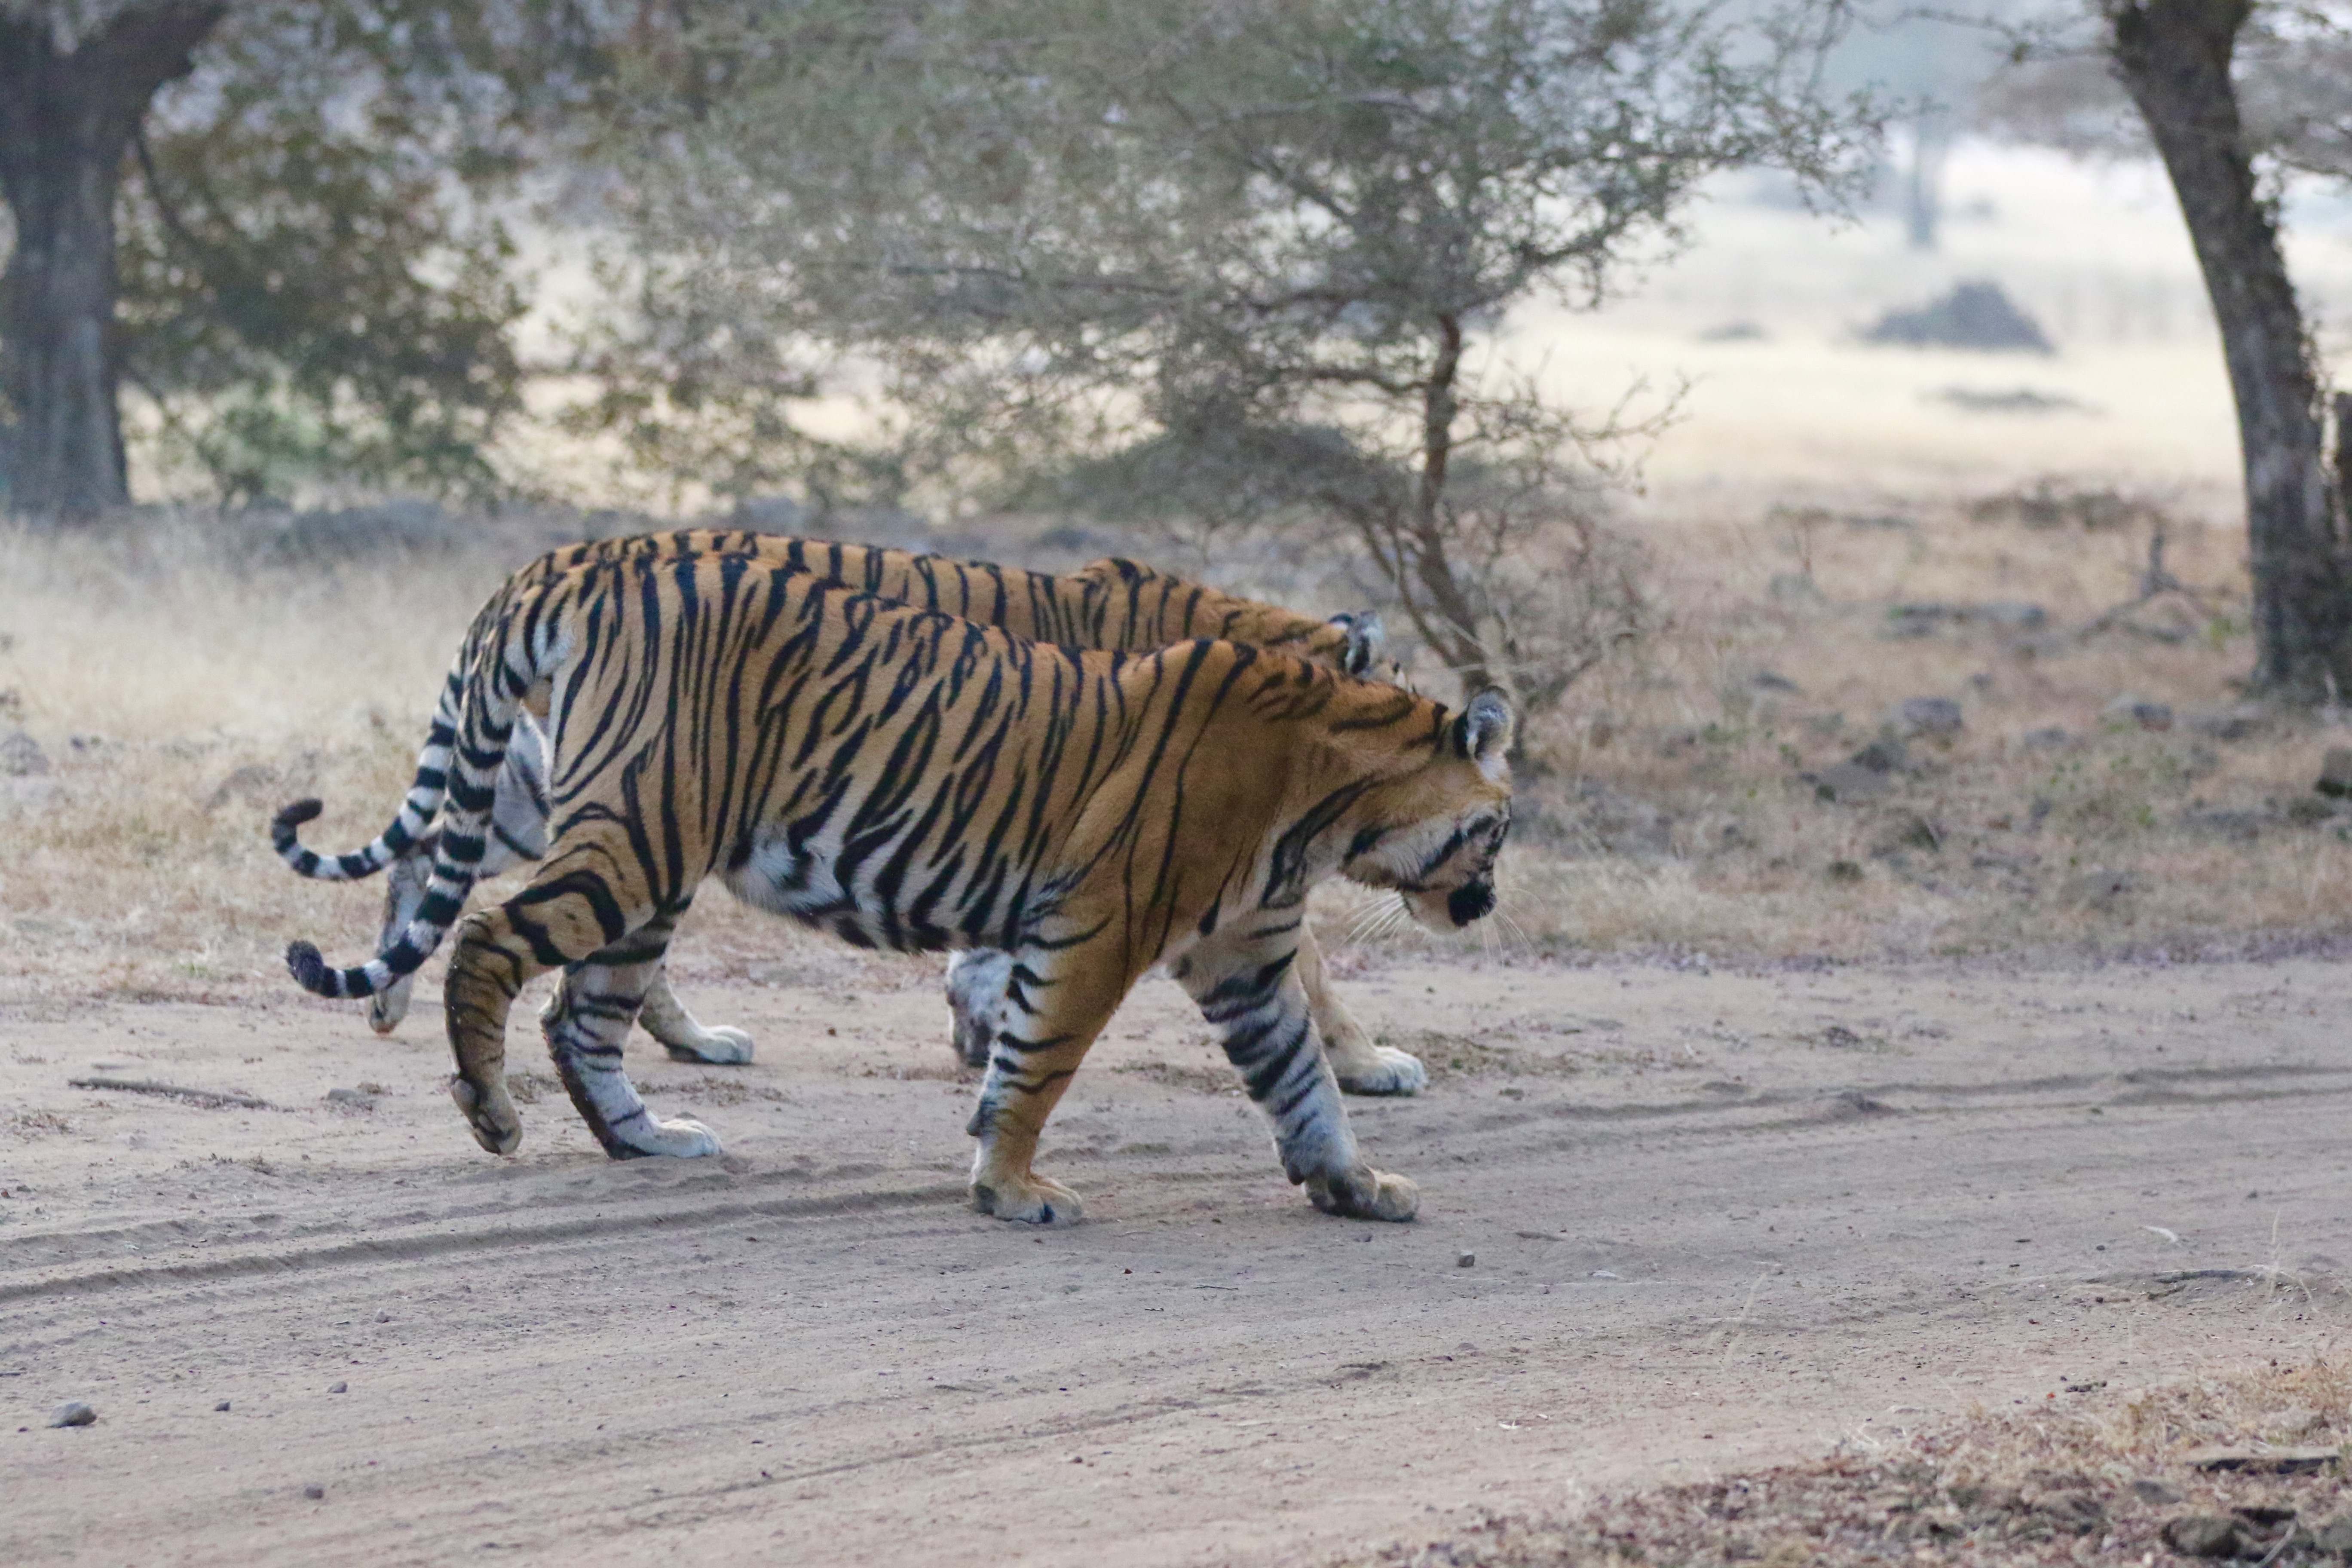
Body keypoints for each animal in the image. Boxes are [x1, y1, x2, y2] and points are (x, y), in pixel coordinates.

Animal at [285, 552, 1514, 1222]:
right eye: (1500, 826)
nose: (1492, 903)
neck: (1329, 790)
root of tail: (569, 567)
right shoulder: (1107, 925)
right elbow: (1045, 1061)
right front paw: (1012, 1187)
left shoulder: (1237, 949)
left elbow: (1296, 1076)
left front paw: (1354, 1184)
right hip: (637, 834)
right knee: (491, 941)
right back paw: (489, 1109)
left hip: (616, 834)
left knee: (570, 1003)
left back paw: (647, 1134)